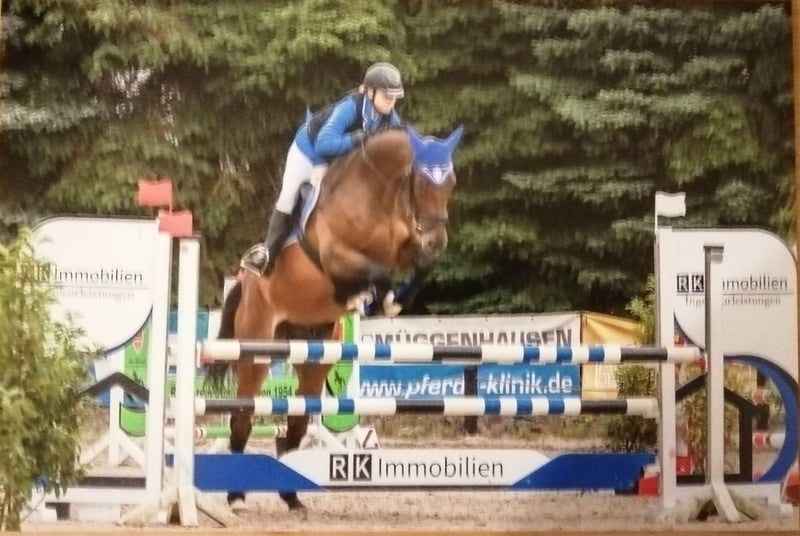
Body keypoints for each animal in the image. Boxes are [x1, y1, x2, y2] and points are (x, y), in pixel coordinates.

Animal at [209, 124, 464, 511]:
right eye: (421, 182)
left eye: (451, 182)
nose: (438, 241)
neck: (378, 193)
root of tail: (245, 283)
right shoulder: (338, 257)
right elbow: (378, 273)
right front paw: (376, 300)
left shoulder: (405, 247)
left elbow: (418, 266)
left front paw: (390, 301)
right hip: (256, 347)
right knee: (242, 417)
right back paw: (236, 496)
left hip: (313, 353)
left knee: (297, 425)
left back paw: (292, 498)